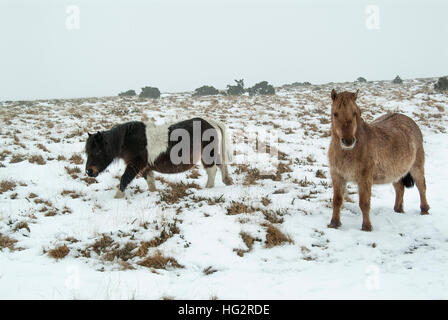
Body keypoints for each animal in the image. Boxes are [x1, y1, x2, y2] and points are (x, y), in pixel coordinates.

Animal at [83, 117, 234, 198]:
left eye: (97, 151)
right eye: (87, 151)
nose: (89, 171)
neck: (129, 139)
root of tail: (211, 123)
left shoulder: (135, 164)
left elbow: (124, 179)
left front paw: (117, 196)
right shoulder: (146, 167)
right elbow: (150, 182)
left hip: (207, 155)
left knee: (212, 170)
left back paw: (208, 188)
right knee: (221, 166)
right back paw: (227, 181)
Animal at [328, 89, 428, 231]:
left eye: (355, 113)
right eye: (335, 114)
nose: (348, 141)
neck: (349, 152)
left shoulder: (364, 178)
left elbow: (364, 203)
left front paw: (366, 227)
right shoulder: (337, 176)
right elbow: (337, 201)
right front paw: (334, 224)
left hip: (417, 166)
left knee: (421, 186)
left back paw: (424, 210)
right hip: (395, 173)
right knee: (400, 188)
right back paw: (398, 210)